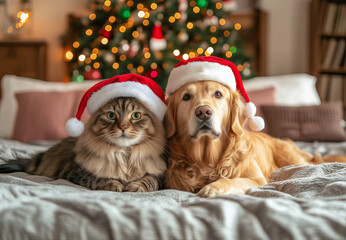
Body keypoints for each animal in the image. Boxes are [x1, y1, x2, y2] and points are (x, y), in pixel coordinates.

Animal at [0, 96, 168, 192]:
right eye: (111, 115)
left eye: (136, 115)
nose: (123, 127)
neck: (125, 154)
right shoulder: (77, 172)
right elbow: (98, 178)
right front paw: (114, 184)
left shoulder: (159, 176)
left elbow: (149, 179)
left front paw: (136, 186)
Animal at [164, 80, 346, 197]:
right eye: (186, 97)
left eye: (218, 94)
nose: (203, 112)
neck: (207, 158)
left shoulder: (257, 179)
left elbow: (230, 180)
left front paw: (213, 188)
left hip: (294, 160)